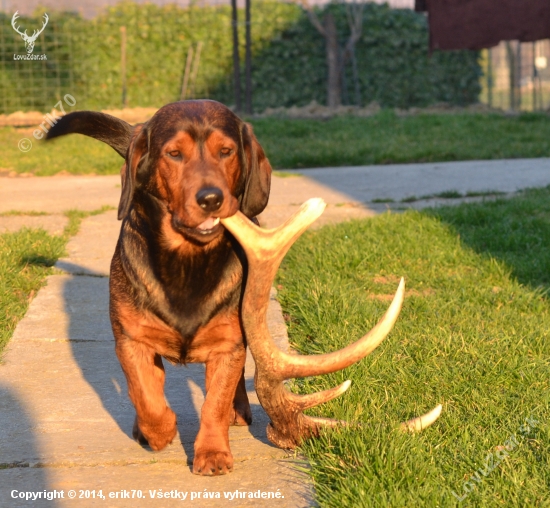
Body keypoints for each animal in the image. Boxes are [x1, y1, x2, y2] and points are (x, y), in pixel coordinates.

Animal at [46, 100, 272, 476]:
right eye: (174, 154)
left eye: (226, 152)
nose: (211, 198)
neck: (187, 259)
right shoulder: (132, 341)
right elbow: (146, 396)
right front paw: (160, 431)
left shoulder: (228, 345)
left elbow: (214, 403)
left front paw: (212, 451)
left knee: (237, 379)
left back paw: (238, 409)